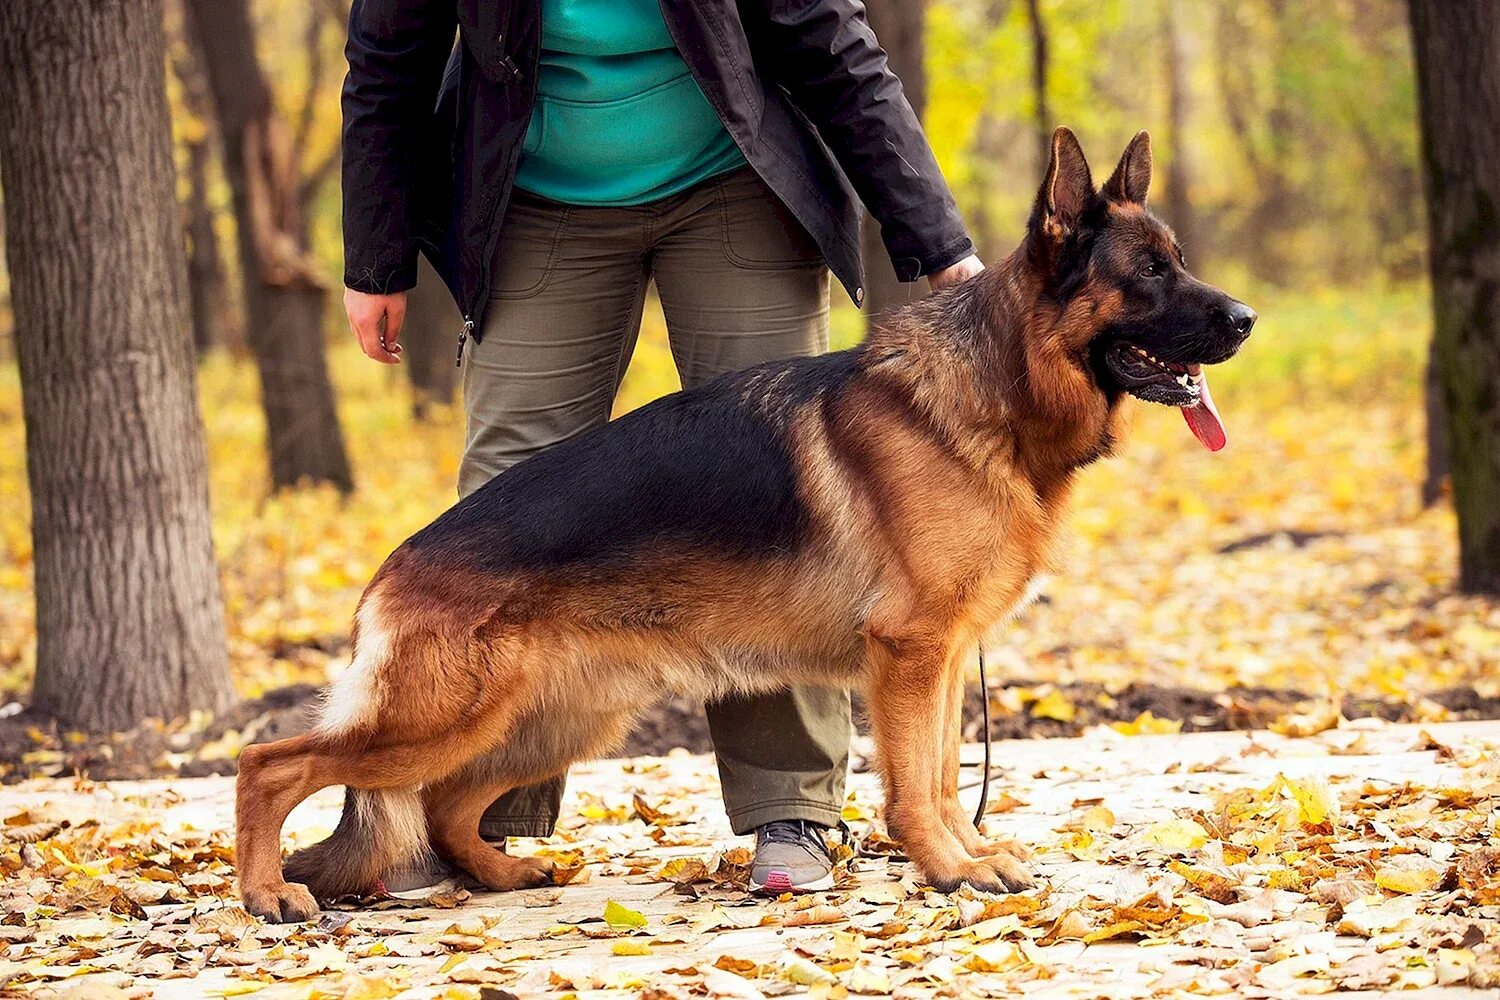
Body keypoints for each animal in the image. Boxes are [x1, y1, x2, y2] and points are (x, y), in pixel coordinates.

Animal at [234, 127, 1254, 923]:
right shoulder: (911, 655)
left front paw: (967, 856)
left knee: (445, 805)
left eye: (1178, 262)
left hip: (555, 717)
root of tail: (391, 569)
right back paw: (268, 892)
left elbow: (944, 773)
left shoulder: (947, 656)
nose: (1246, 319)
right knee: (269, 763)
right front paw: (946, 870)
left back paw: (499, 873)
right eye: (1149, 274)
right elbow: (915, 786)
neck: (991, 389)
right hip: (443, 716)